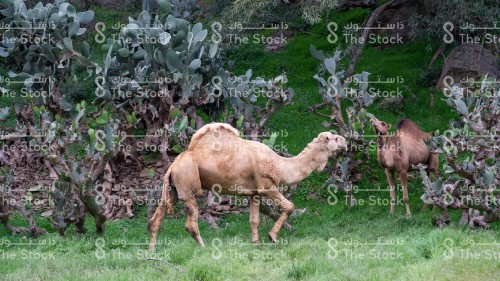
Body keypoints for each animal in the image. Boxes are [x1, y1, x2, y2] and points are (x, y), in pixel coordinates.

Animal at [146, 122, 346, 249]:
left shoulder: (254, 193)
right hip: (188, 186)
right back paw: (204, 247)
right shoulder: (267, 186)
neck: (281, 165)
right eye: (334, 138)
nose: (345, 141)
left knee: (156, 218)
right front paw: (272, 237)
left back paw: (151, 253)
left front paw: (255, 244)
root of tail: (172, 166)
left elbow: (254, 219)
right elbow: (290, 206)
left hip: (172, 189)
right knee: (191, 223)